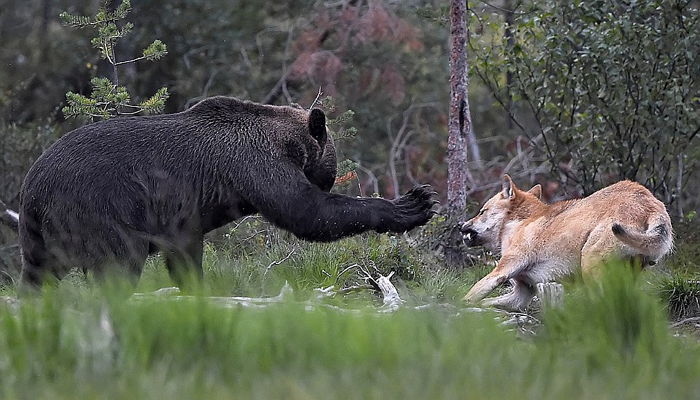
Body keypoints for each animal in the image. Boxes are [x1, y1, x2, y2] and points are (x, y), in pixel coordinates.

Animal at [19, 97, 434, 288]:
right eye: (331, 165)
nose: (330, 178)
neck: (286, 142)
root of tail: (33, 184)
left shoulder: (181, 216)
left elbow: (184, 252)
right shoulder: (253, 162)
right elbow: (305, 210)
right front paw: (413, 204)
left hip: (42, 234)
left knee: (38, 274)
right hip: (100, 207)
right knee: (120, 262)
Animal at [460, 177, 672, 310]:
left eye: (482, 212)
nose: (461, 226)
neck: (519, 223)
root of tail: (653, 205)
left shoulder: (501, 271)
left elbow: (469, 295)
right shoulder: (521, 294)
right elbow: (484, 302)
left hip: (590, 266)